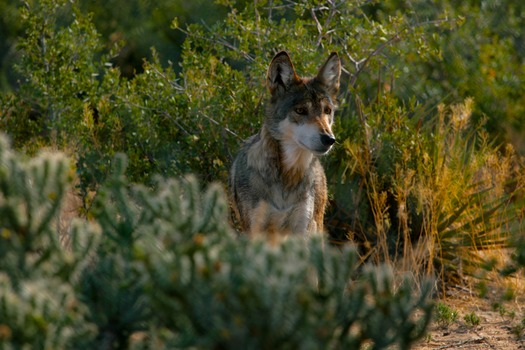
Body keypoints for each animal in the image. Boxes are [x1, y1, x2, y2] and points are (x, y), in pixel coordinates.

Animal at [229, 51, 340, 238]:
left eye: (327, 111)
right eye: (301, 110)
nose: (329, 139)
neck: (288, 175)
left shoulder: (302, 229)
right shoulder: (254, 229)